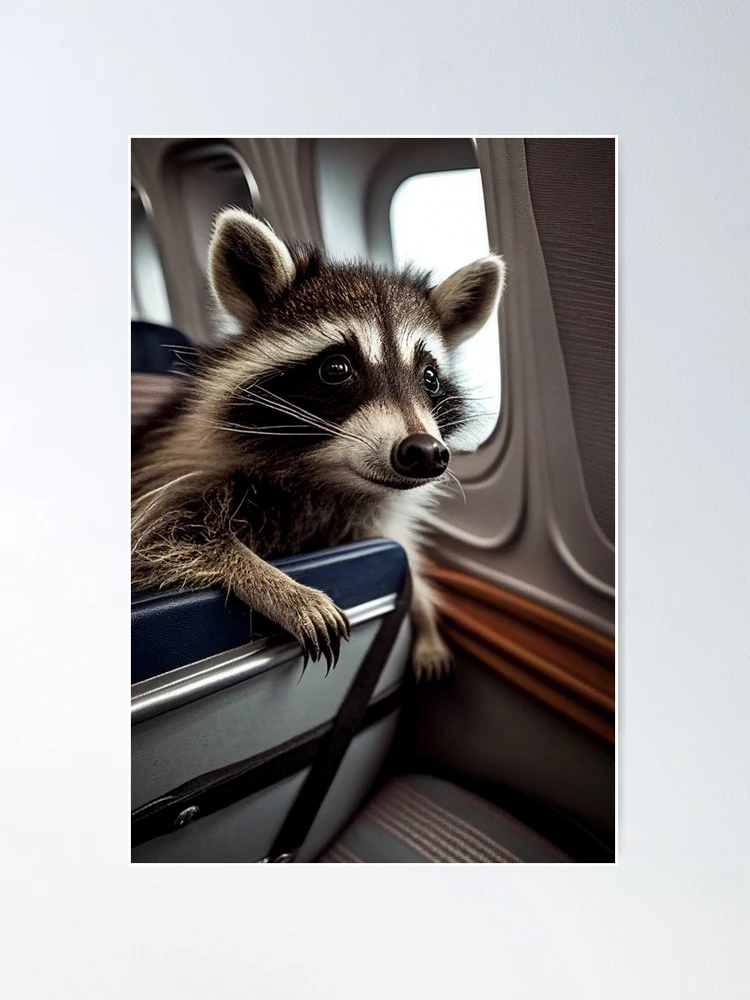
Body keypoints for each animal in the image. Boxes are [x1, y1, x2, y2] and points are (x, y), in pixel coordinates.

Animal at [132, 209, 505, 679]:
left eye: (430, 378)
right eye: (336, 368)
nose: (423, 452)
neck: (327, 481)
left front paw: (421, 608)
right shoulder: (171, 470)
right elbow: (161, 538)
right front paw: (272, 581)